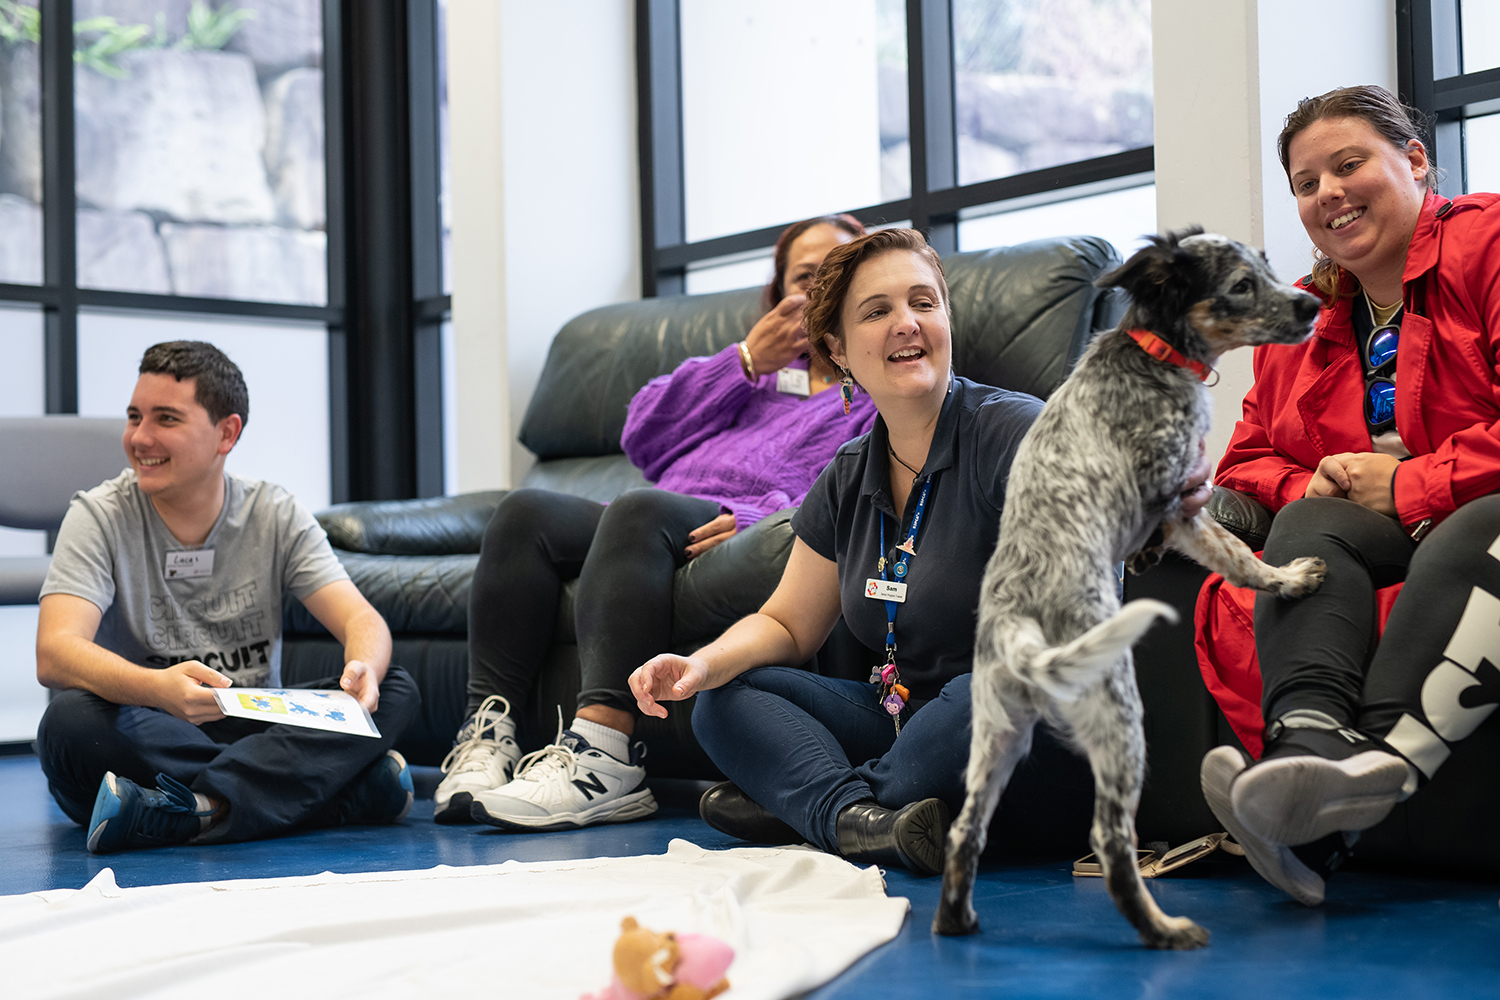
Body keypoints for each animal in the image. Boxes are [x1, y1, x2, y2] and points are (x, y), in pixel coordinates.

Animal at [930, 230, 1332, 953]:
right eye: (1241, 285)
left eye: (1266, 266)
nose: (1311, 305)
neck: (1153, 350)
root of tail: (1019, 625)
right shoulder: (1179, 497)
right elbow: (1237, 557)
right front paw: (1288, 578)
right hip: (1118, 719)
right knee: (1111, 839)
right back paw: (1163, 929)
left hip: (996, 736)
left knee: (966, 828)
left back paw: (956, 919)